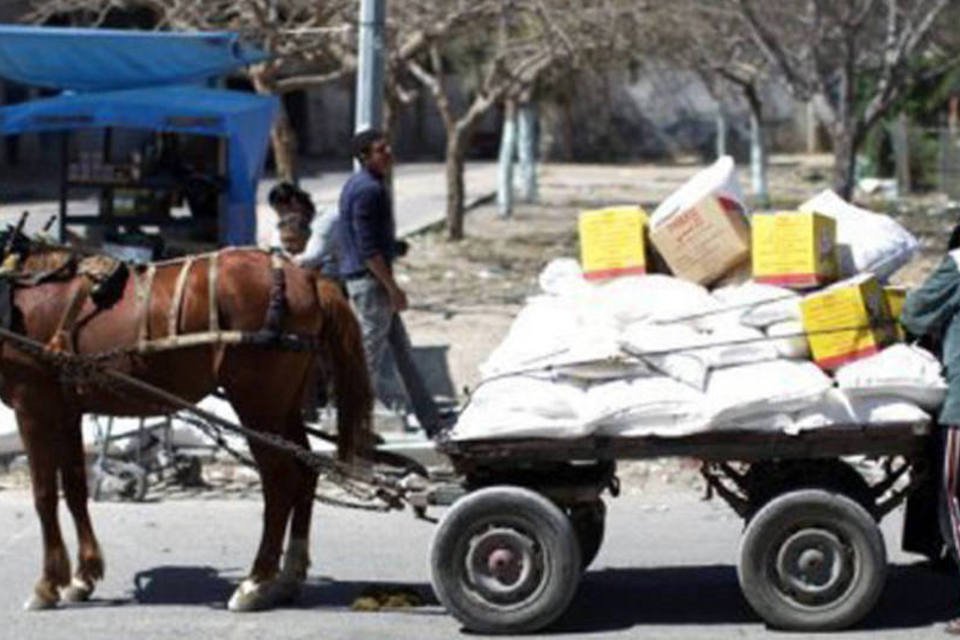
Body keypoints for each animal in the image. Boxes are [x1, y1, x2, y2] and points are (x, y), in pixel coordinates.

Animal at [0, 238, 374, 612]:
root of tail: (306, 277)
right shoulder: (65, 411)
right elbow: (75, 489)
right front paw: (82, 577)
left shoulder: (32, 406)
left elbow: (44, 495)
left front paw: (47, 584)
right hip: (283, 406)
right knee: (306, 469)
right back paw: (288, 577)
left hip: (258, 405)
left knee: (280, 480)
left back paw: (256, 582)